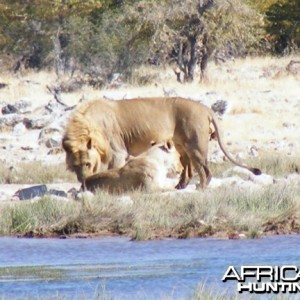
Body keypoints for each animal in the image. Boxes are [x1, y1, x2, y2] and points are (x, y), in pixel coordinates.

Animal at [62, 97, 260, 189]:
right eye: (75, 165)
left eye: (87, 163)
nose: (82, 178)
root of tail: (204, 107)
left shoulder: (117, 152)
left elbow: (112, 170)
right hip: (180, 145)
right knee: (188, 169)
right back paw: (180, 186)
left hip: (195, 145)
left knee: (205, 171)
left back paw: (200, 187)